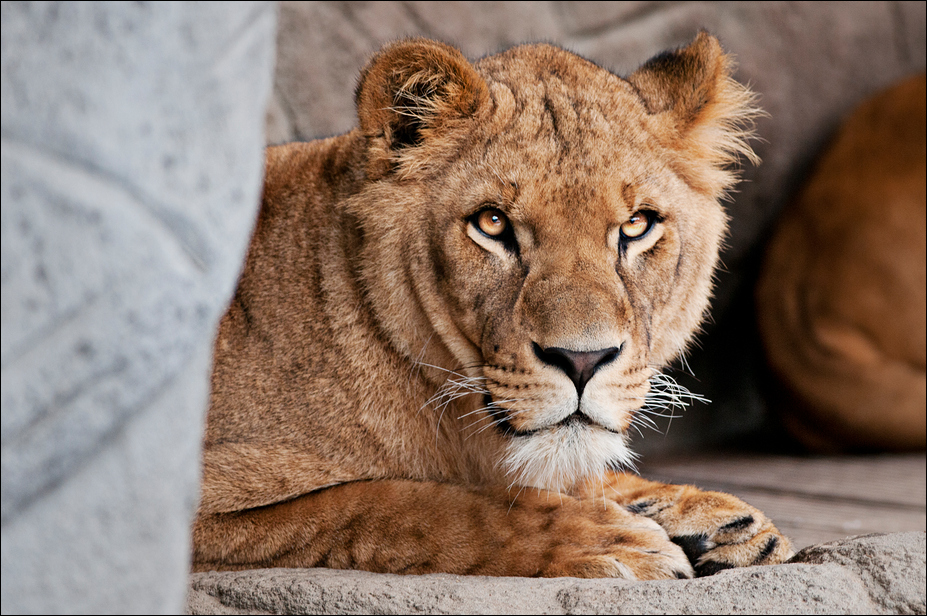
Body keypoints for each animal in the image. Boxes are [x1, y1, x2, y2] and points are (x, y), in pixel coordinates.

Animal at [192, 34, 794, 579]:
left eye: (637, 225)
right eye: (492, 223)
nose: (583, 361)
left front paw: (716, 518)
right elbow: (409, 505)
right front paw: (610, 540)